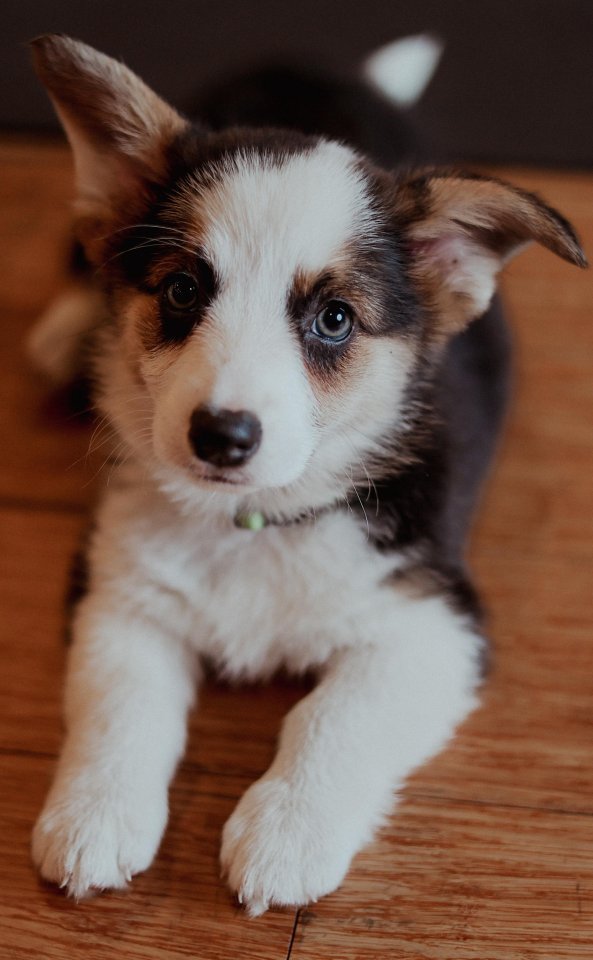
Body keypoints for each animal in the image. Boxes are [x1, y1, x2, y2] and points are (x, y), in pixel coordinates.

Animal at [29, 34, 585, 916]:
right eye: (182, 289)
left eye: (333, 320)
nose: (221, 437)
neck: (256, 519)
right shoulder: (119, 594)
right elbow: (121, 706)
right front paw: (93, 817)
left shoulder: (433, 624)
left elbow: (334, 717)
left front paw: (286, 834)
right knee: (81, 267)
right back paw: (61, 339)